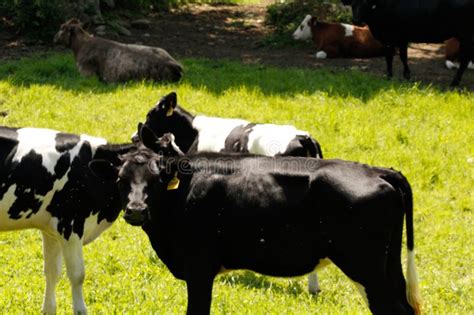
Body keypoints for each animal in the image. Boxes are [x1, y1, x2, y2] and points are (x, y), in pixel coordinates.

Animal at [90, 128, 422, 315]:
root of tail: (376, 170)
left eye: (158, 179)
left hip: (366, 267)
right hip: (388, 265)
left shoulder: (200, 269)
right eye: (120, 180)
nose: (135, 210)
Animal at [342, 0, 472, 86]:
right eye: (353, 4)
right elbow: (392, 57)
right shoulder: (392, 39)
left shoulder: (398, 37)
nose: (356, 20)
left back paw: (455, 81)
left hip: (466, 36)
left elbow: (399, 57)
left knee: (465, 60)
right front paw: (393, 75)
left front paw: (402, 75)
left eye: (366, 4)